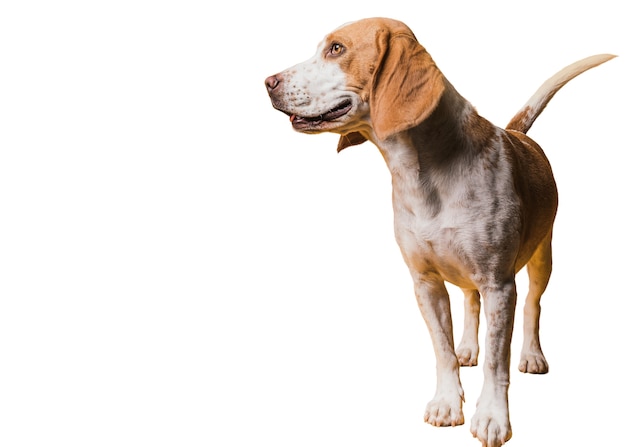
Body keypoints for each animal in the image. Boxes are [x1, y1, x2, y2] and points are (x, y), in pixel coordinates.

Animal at [264, 17, 616, 447]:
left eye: (336, 49)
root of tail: (520, 135)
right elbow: (442, 350)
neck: (424, 176)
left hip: (541, 258)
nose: (268, 82)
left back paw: (532, 355)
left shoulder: (500, 285)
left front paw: (492, 418)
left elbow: (497, 361)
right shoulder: (426, 283)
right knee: (469, 302)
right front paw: (448, 403)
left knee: (533, 307)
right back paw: (468, 346)